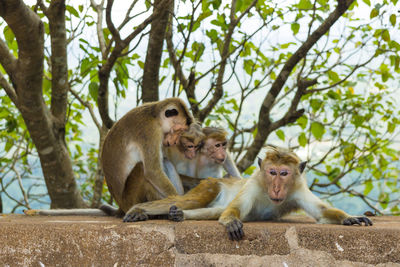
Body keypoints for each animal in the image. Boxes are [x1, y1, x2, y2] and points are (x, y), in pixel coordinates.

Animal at [122, 147, 372, 241]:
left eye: (284, 173)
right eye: (271, 172)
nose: (276, 187)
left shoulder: (299, 189)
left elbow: (322, 212)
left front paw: (350, 218)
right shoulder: (253, 184)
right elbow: (235, 210)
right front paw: (232, 222)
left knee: (215, 210)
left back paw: (179, 215)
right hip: (210, 184)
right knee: (192, 200)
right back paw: (140, 210)